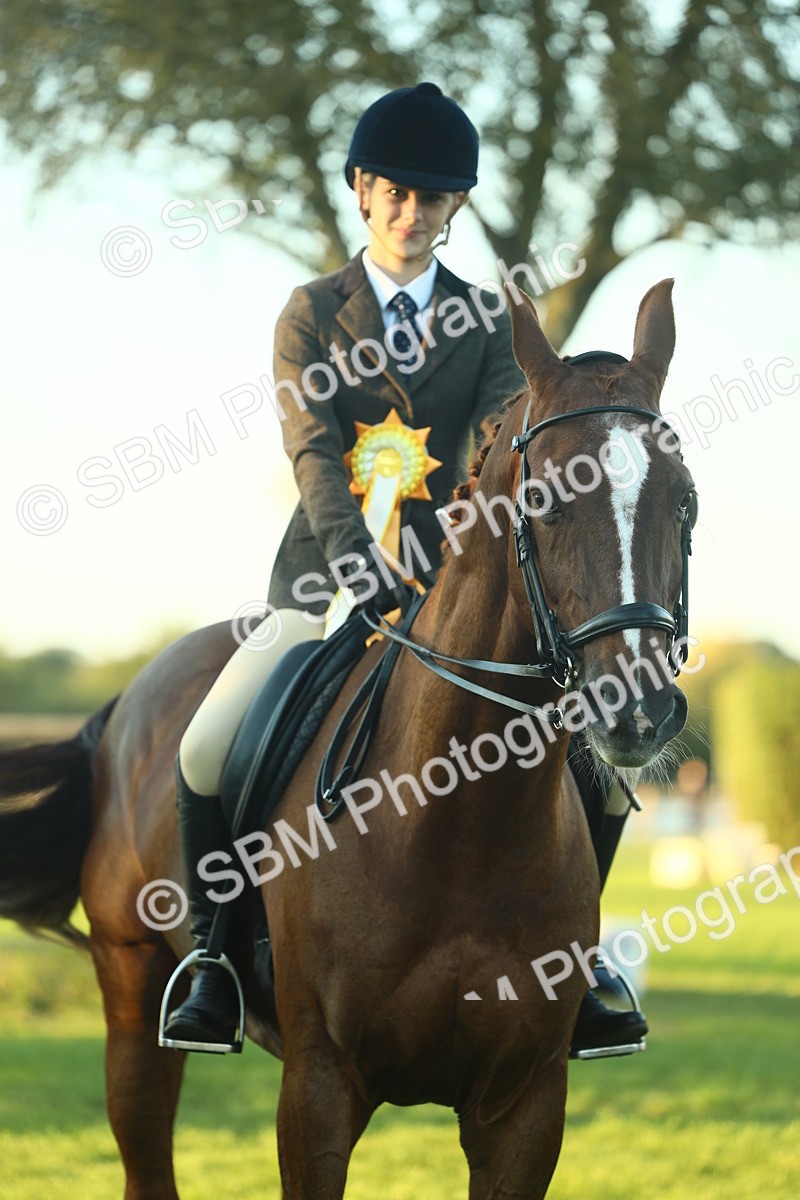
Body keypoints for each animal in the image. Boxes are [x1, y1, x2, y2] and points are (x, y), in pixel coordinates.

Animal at [0, 279, 696, 1199]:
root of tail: (125, 702)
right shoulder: (319, 1088)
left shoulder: (526, 1106)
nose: (638, 710)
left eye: (684, 497)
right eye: (544, 498)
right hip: (129, 982)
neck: (458, 827)